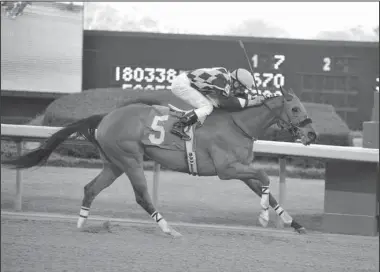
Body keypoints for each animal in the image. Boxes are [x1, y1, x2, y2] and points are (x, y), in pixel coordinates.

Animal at [5, 87, 318, 236]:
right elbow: (265, 178)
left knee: (90, 189)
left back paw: (82, 225)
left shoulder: (242, 168)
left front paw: (294, 223)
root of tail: (106, 116)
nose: (312, 134)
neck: (238, 124)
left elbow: (267, 190)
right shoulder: (226, 170)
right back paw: (168, 229)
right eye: (294, 108)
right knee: (142, 197)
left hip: (114, 164)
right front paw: (264, 217)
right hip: (130, 160)